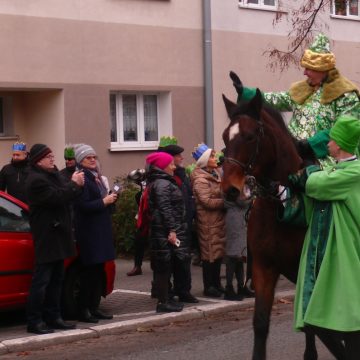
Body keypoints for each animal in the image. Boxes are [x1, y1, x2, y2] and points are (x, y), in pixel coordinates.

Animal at [219, 85, 330, 360]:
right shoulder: (263, 268)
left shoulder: (307, 267)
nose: (230, 190)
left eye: (250, 136)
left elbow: (309, 320)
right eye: (226, 137)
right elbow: (260, 323)